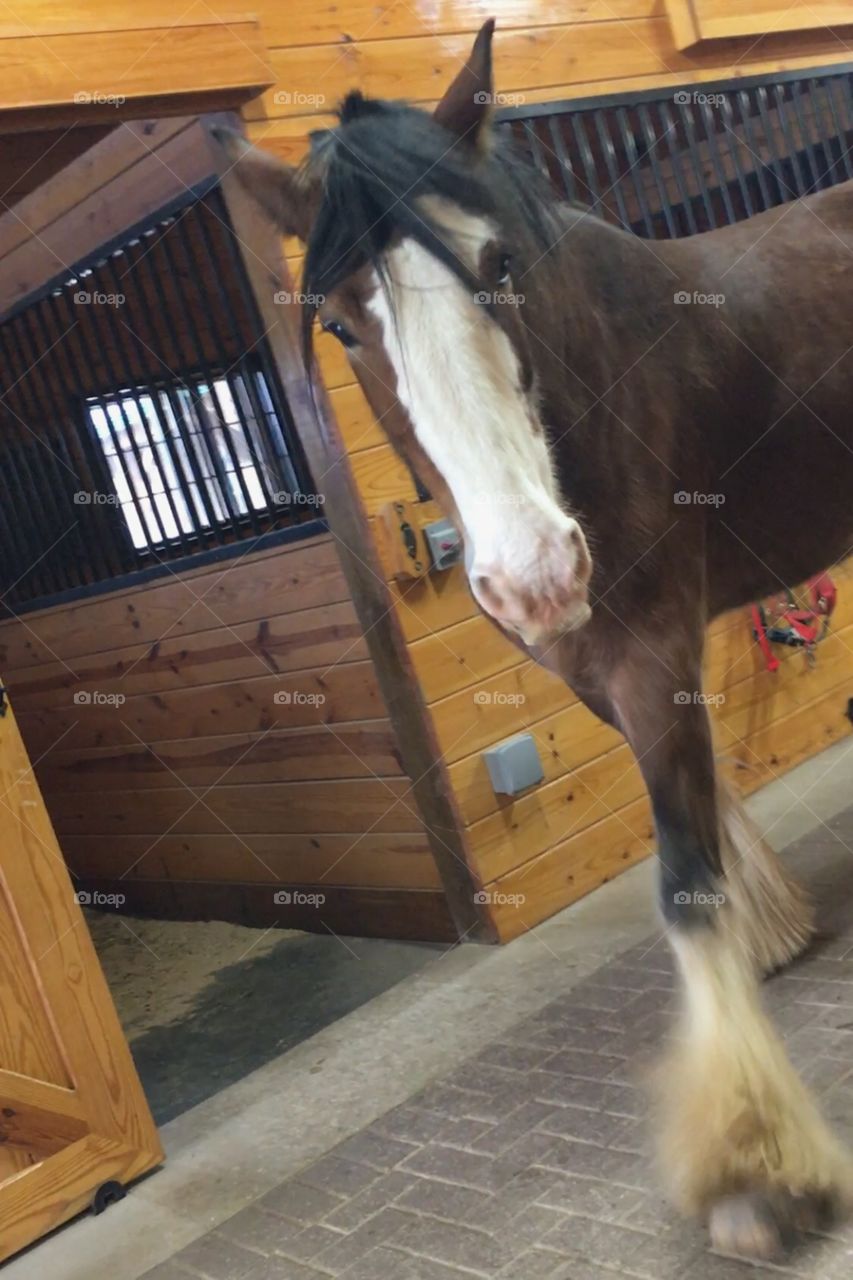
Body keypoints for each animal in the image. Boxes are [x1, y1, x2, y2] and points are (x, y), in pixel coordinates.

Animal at [217, 17, 850, 1259]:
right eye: (339, 320)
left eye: (499, 264)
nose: (532, 572)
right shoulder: (596, 667)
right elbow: (702, 815)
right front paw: (772, 928)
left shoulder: (649, 649)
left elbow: (682, 880)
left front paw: (751, 1165)